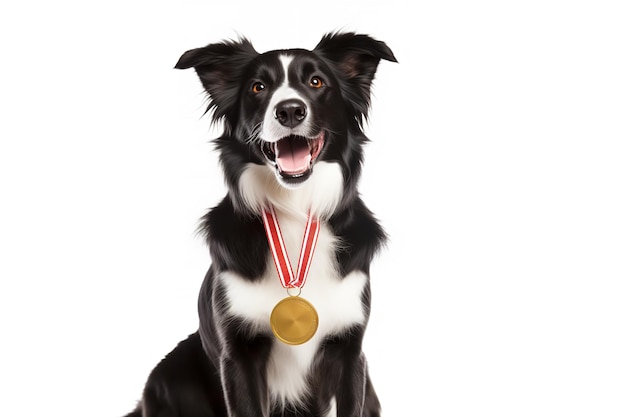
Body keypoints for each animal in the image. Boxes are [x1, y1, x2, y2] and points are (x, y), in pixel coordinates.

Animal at [123, 31, 394, 416]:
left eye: (316, 82)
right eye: (258, 87)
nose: (290, 110)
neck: (293, 211)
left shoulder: (350, 351)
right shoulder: (238, 355)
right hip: (168, 373)